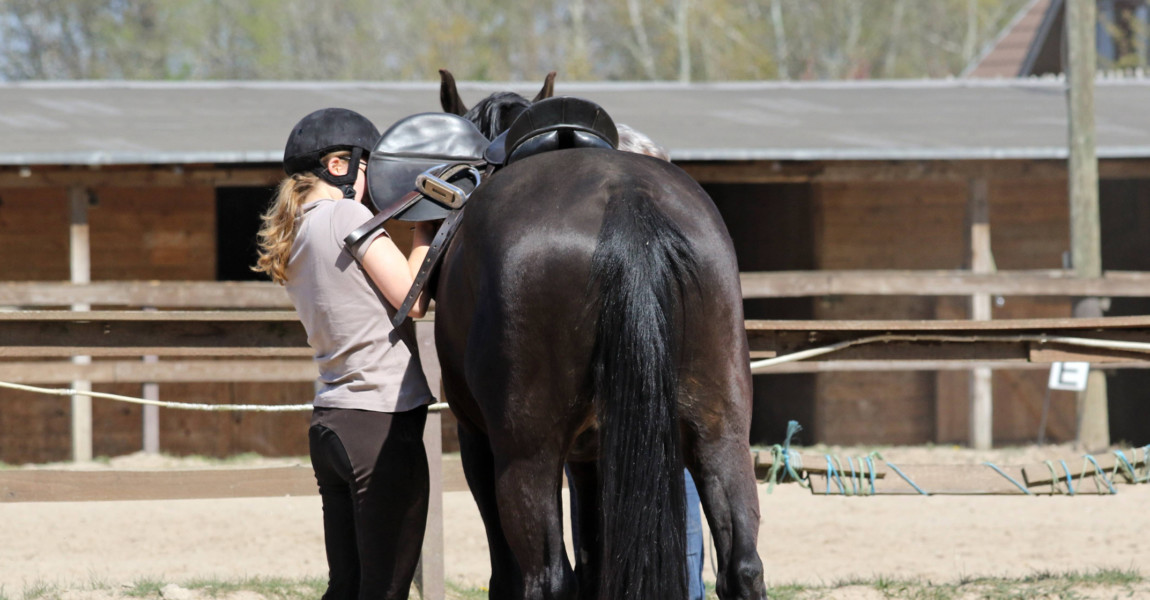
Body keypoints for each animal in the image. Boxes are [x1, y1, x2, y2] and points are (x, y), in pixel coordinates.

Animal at [432, 72, 763, 593]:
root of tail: (625, 201)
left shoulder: (478, 441)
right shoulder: (594, 454)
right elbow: (595, 556)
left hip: (527, 456)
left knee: (547, 575)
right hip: (720, 432)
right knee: (743, 565)